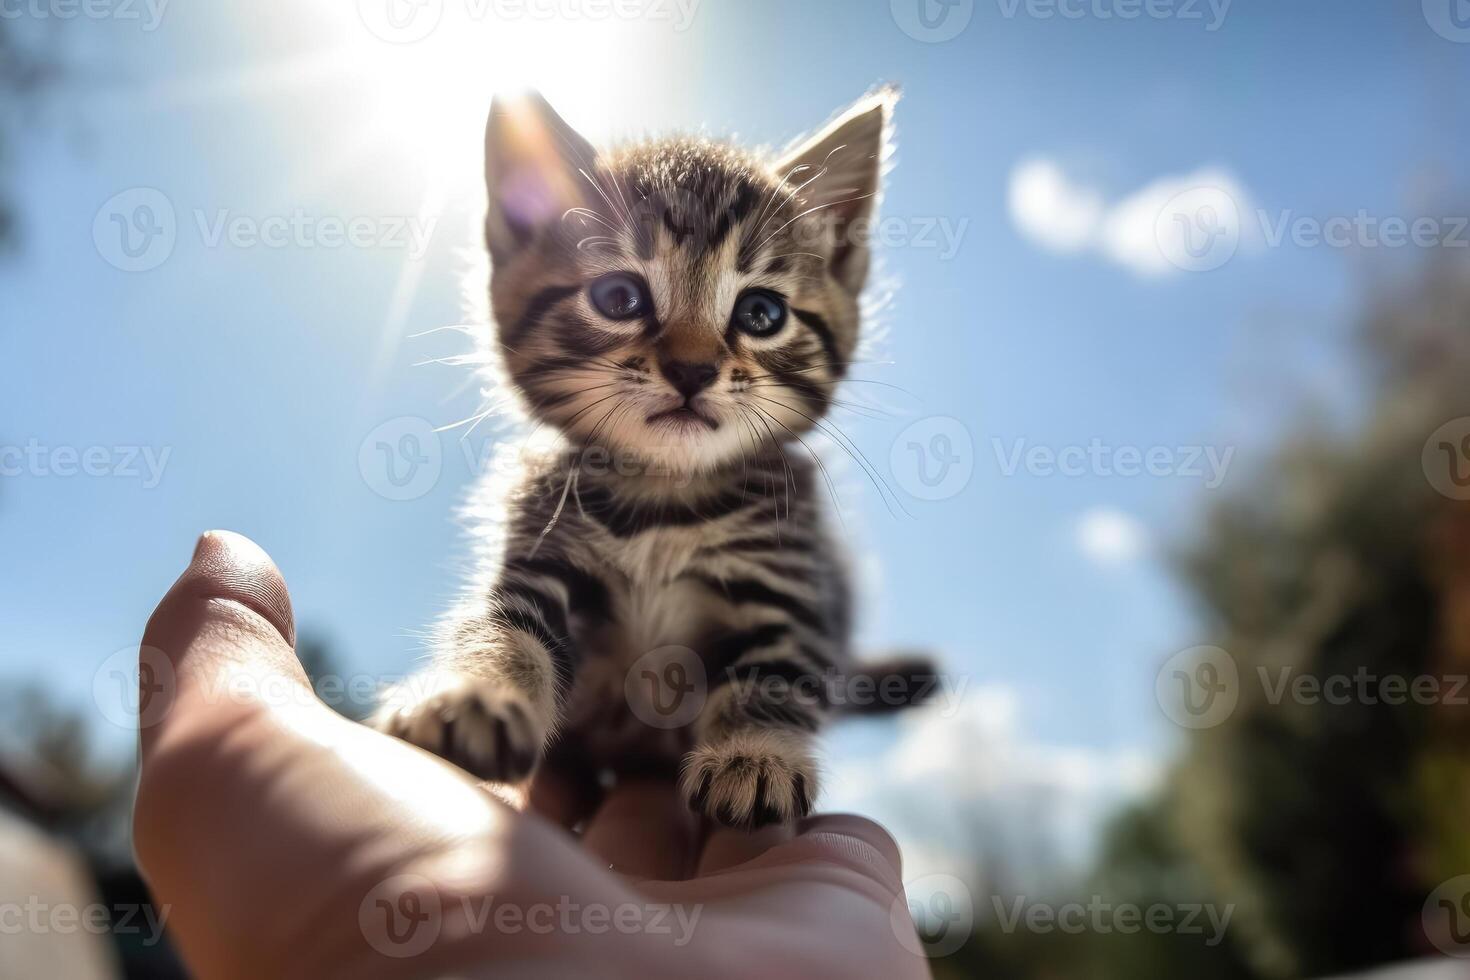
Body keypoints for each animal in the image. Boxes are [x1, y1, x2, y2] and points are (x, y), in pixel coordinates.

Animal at [376, 89, 929, 828]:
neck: (664, 494)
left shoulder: (785, 585)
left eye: (760, 313)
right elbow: (502, 632)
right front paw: (474, 696)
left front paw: (754, 755)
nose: (692, 370)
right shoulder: (540, 560)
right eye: (619, 299)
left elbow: (776, 674)